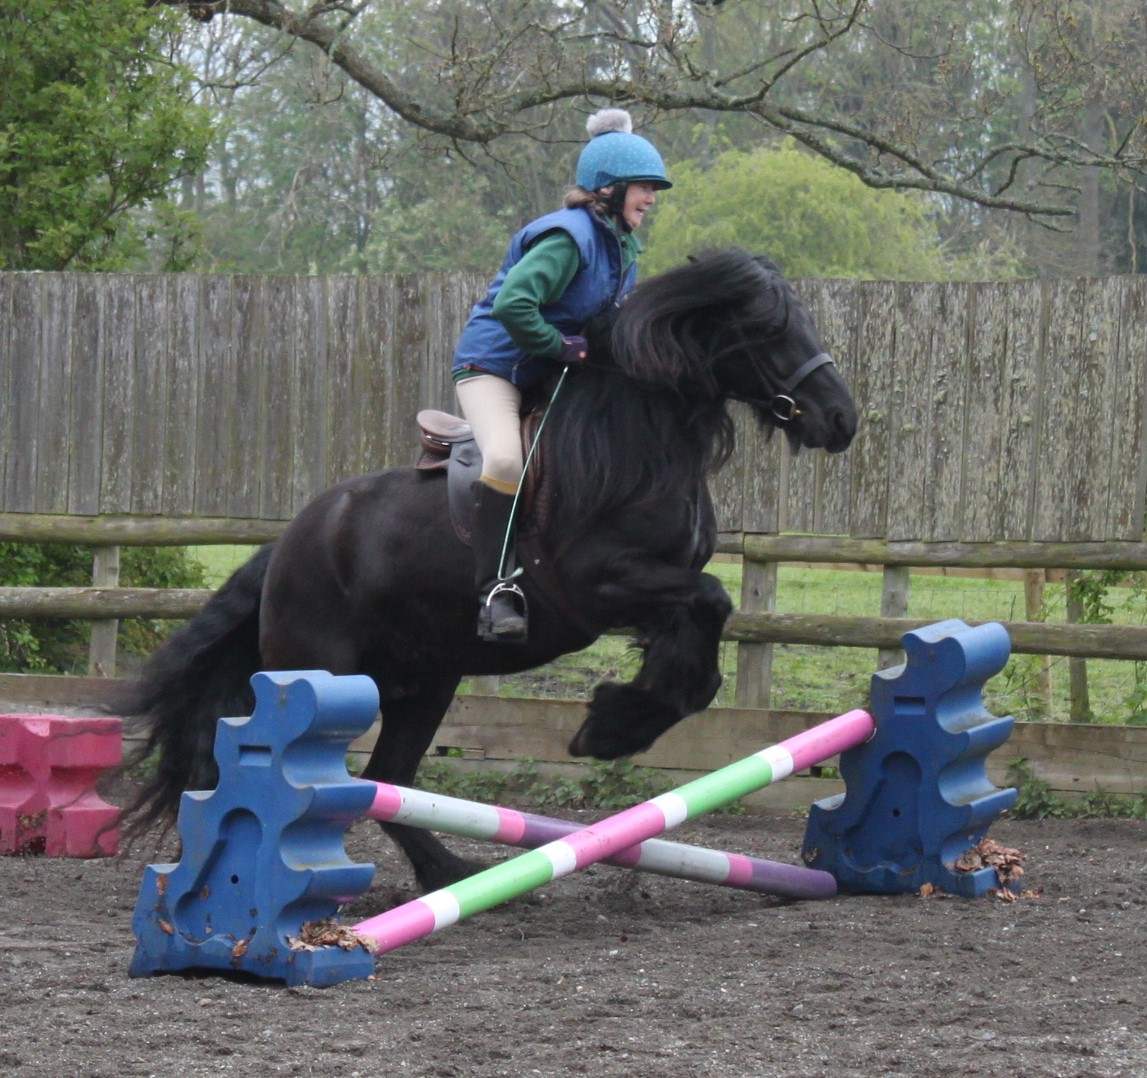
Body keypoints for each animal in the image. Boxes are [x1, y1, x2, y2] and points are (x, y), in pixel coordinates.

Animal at [125, 248, 862, 889]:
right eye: (770, 329)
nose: (841, 419)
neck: (638, 436)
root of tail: (289, 545)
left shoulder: (653, 593)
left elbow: (701, 655)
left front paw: (623, 715)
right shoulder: (600, 585)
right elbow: (709, 603)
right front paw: (609, 726)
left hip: (425, 681)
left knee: (388, 775)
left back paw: (448, 873)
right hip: (322, 673)